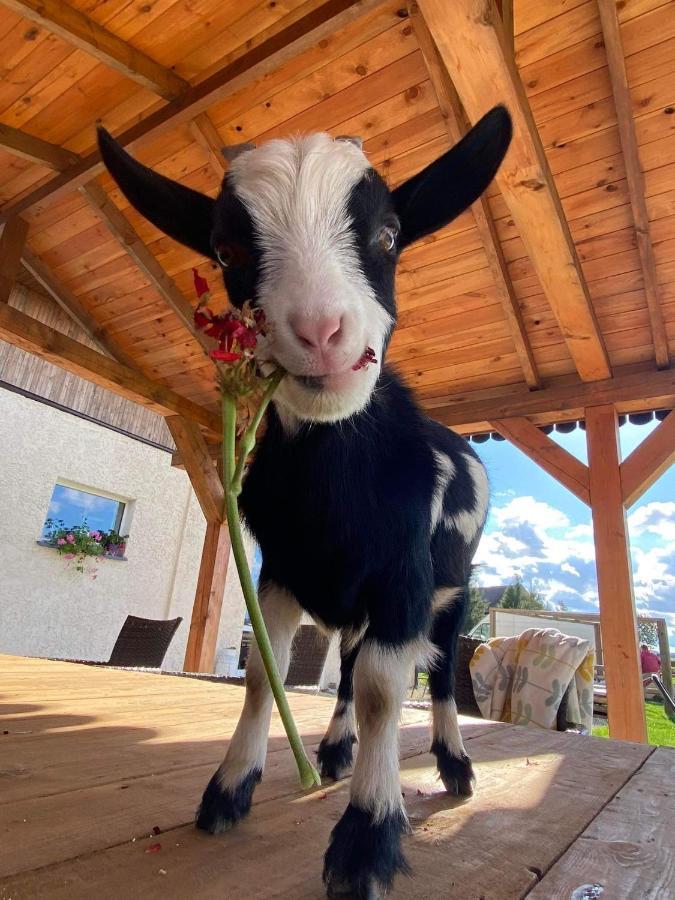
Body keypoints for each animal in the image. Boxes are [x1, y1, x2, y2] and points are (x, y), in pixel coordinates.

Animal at [99, 107, 512, 900]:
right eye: (228, 247)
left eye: (388, 235)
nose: (321, 334)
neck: (335, 507)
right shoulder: (281, 571)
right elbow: (269, 669)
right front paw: (230, 789)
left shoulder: (404, 577)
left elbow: (387, 687)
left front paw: (366, 841)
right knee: (346, 667)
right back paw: (334, 751)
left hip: (456, 592)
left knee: (441, 671)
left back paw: (454, 767)